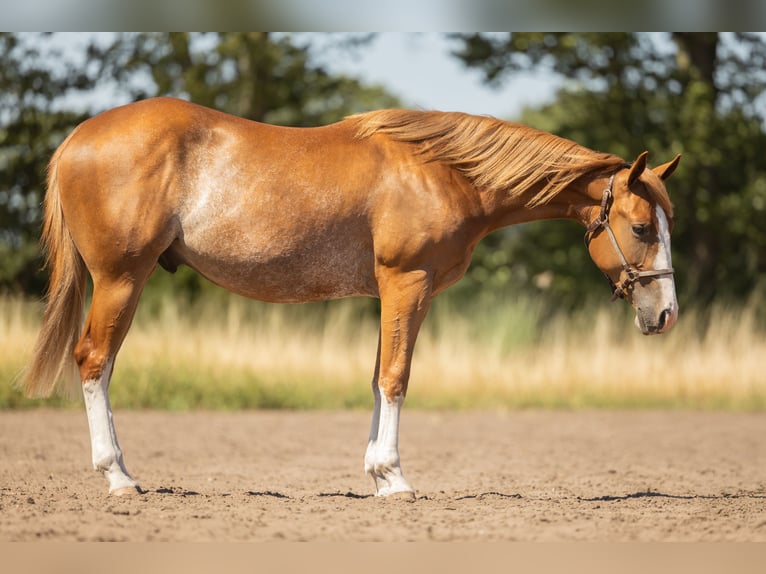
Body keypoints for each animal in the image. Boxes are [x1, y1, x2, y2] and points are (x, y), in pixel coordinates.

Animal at [21, 97, 680, 498]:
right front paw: (396, 478)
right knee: (94, 362)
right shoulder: (406, 283)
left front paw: (377, 476)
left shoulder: (392, 293)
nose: (666, 314)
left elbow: (377, 377)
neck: (444, 172)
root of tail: (77, 138)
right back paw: (118, 476)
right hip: (120, 281)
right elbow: (396, 377)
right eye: (641, 228)